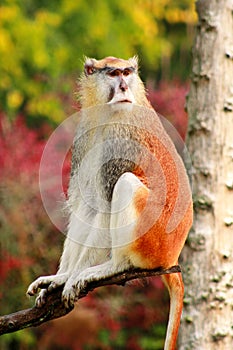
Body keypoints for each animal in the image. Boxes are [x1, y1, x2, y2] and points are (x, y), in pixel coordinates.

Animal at [28, 56, 193, 348]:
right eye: (114, 74)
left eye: (127, 72)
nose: (124, 87)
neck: (108, 114)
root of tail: (171, 256)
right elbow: (86, 206)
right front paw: (58, 278)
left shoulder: (120, 139)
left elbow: (105, 208)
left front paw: (73, 277)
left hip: (152, 241)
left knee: (126, 183)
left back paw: (114, 266)